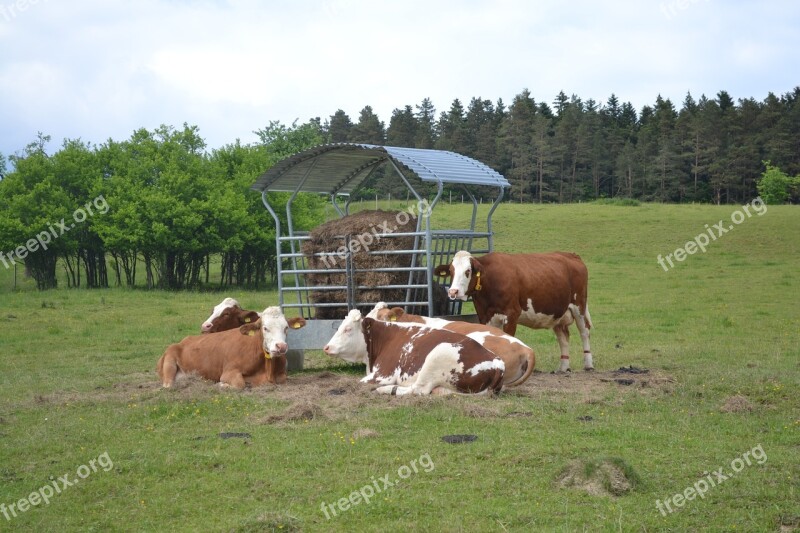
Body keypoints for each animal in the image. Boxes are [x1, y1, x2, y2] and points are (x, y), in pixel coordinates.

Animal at [322, 308, 504, 394]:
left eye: (347, 329)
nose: (326, 347)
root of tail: (496, 363)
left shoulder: (383, 374)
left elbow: (359, 382)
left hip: (436, 356)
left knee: (418, 389)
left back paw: (387, 390)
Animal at [434, 250, 592, 372]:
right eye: (451, 271)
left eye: (468, 271)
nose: (453, 292)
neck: (491, 280)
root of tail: (571, 255)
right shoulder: (485, 316)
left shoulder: (512, 314)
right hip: (558, 313)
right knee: (563, 337)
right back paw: (564, 367)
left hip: (579, 306)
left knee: (584, 332)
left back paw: (588, 364)